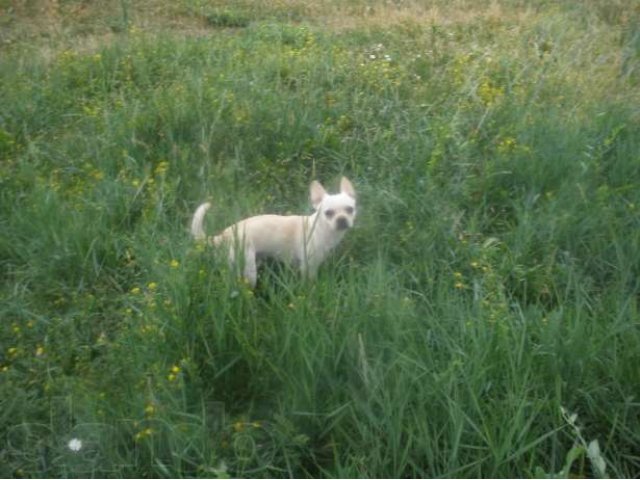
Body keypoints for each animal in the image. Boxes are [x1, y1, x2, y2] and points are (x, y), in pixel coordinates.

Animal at [192, 178, 358, 286]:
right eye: (328, 213)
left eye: (350, 209)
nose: (342, 219)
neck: (321, 229)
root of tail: (223, 235)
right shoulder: (309, 265)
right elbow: (310, 282)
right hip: (248, 267)